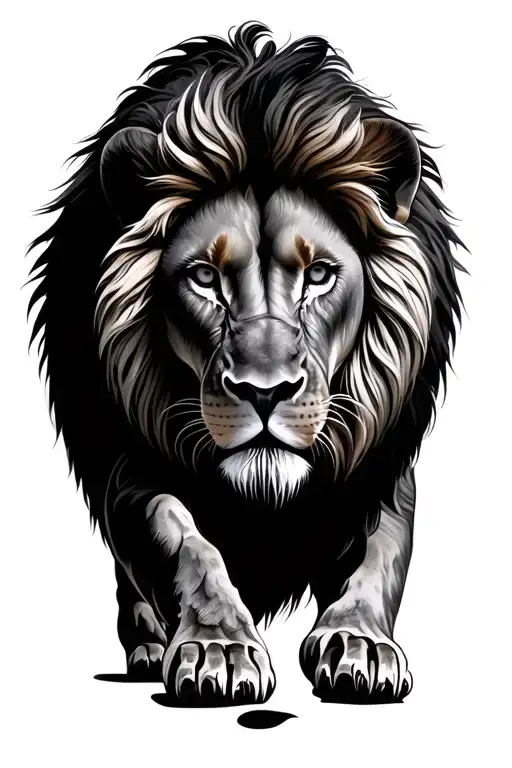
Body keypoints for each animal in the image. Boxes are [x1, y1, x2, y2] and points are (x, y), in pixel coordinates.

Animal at [29, 22, 464, 706]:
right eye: (204, 277)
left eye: (319, 274)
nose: (265, 392)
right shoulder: (130, 462)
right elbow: (180, 539)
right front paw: (218, 648)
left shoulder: (380, 462)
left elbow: (380, 555)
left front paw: (359, 642)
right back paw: (148, 646)